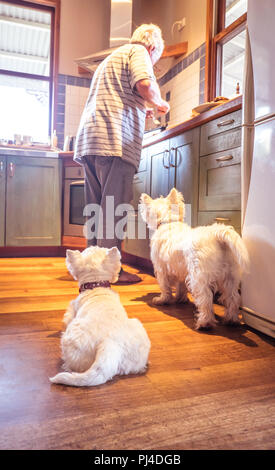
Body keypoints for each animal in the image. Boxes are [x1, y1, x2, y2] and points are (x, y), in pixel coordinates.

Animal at [50, 246, 152, 386]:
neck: (96, 286)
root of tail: (109, 344)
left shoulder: (71, 312)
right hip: (137, 331)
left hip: (71, 341)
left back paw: (66, 365)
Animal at [140, 188, 250, 330]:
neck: (169, 222)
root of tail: (216, 234)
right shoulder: (181, 270)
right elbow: (181, 286)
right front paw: (180, 299)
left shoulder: (161, 269)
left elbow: (165, 287)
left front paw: (162, 300)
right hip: (230, 277)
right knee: (233, 297)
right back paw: (231, 320)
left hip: (199, 277)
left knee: (206, 298)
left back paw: (204, 323)